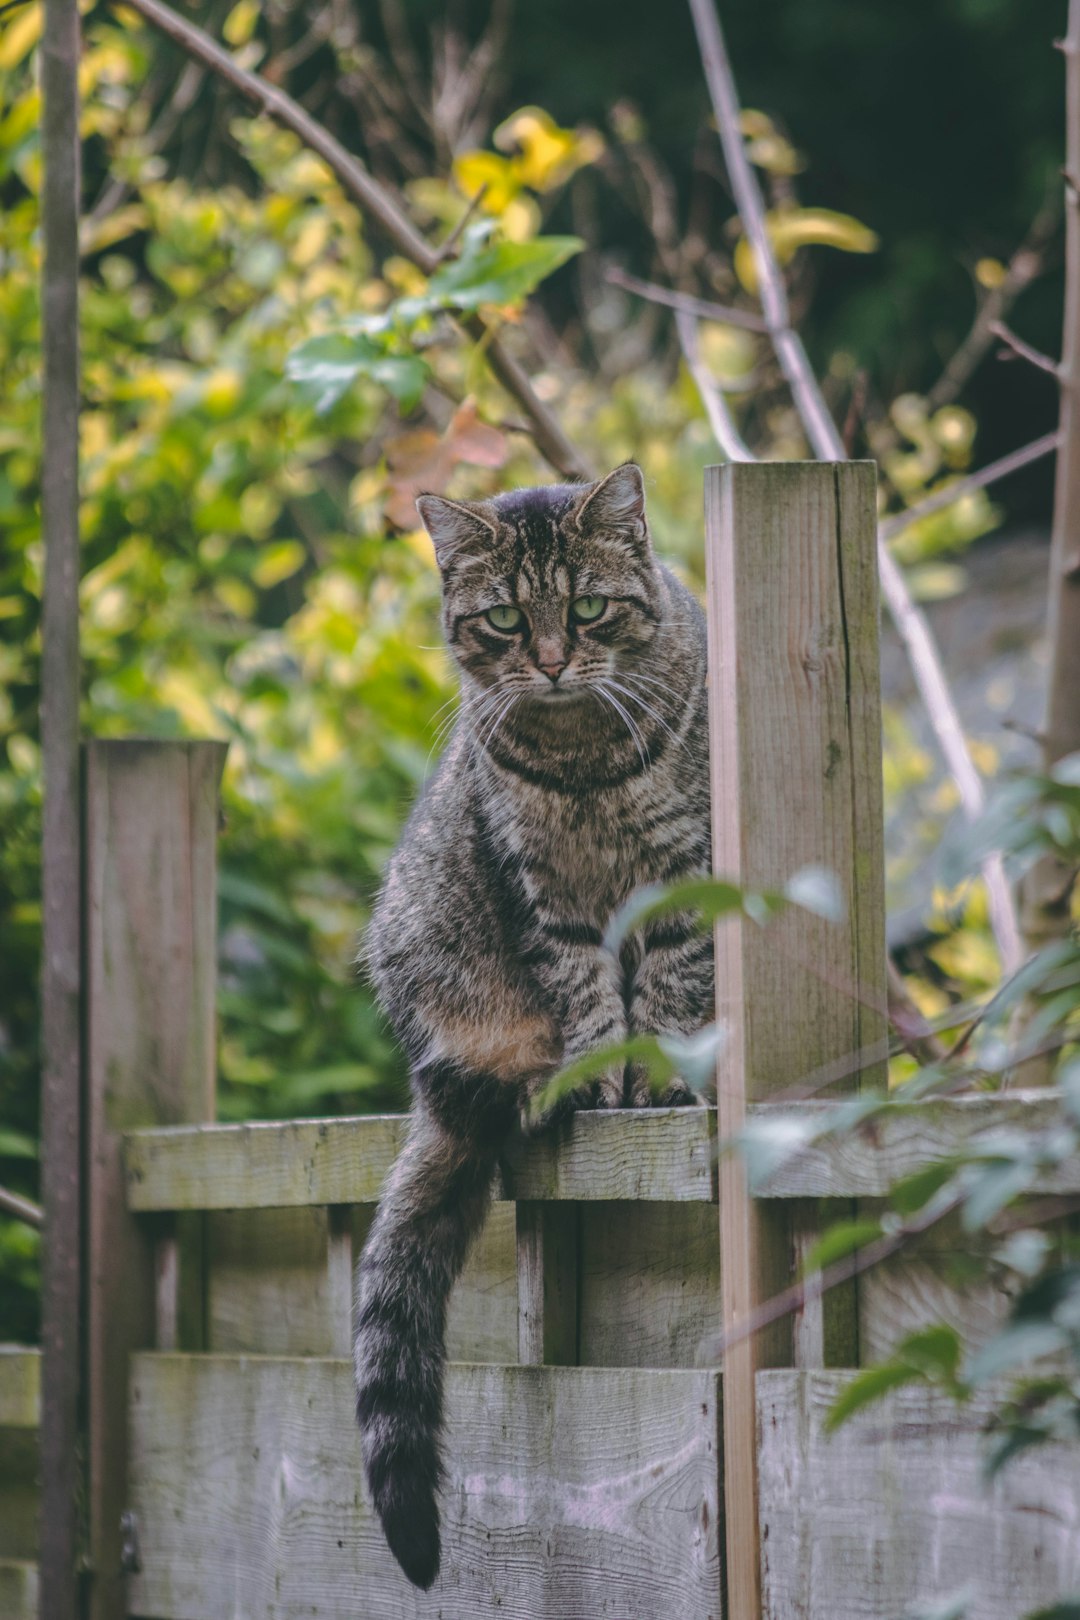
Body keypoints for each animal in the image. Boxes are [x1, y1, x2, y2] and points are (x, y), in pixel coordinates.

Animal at [351, 463, 712, 1587]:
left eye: (587, 609)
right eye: (507, 621)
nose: (550, 662)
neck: (582, 755)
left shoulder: (683, 875)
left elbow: (673, 979)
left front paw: (664, 1075)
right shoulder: (544, 894)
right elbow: (587, 991)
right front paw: (600, 1073)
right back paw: (537, 1083)